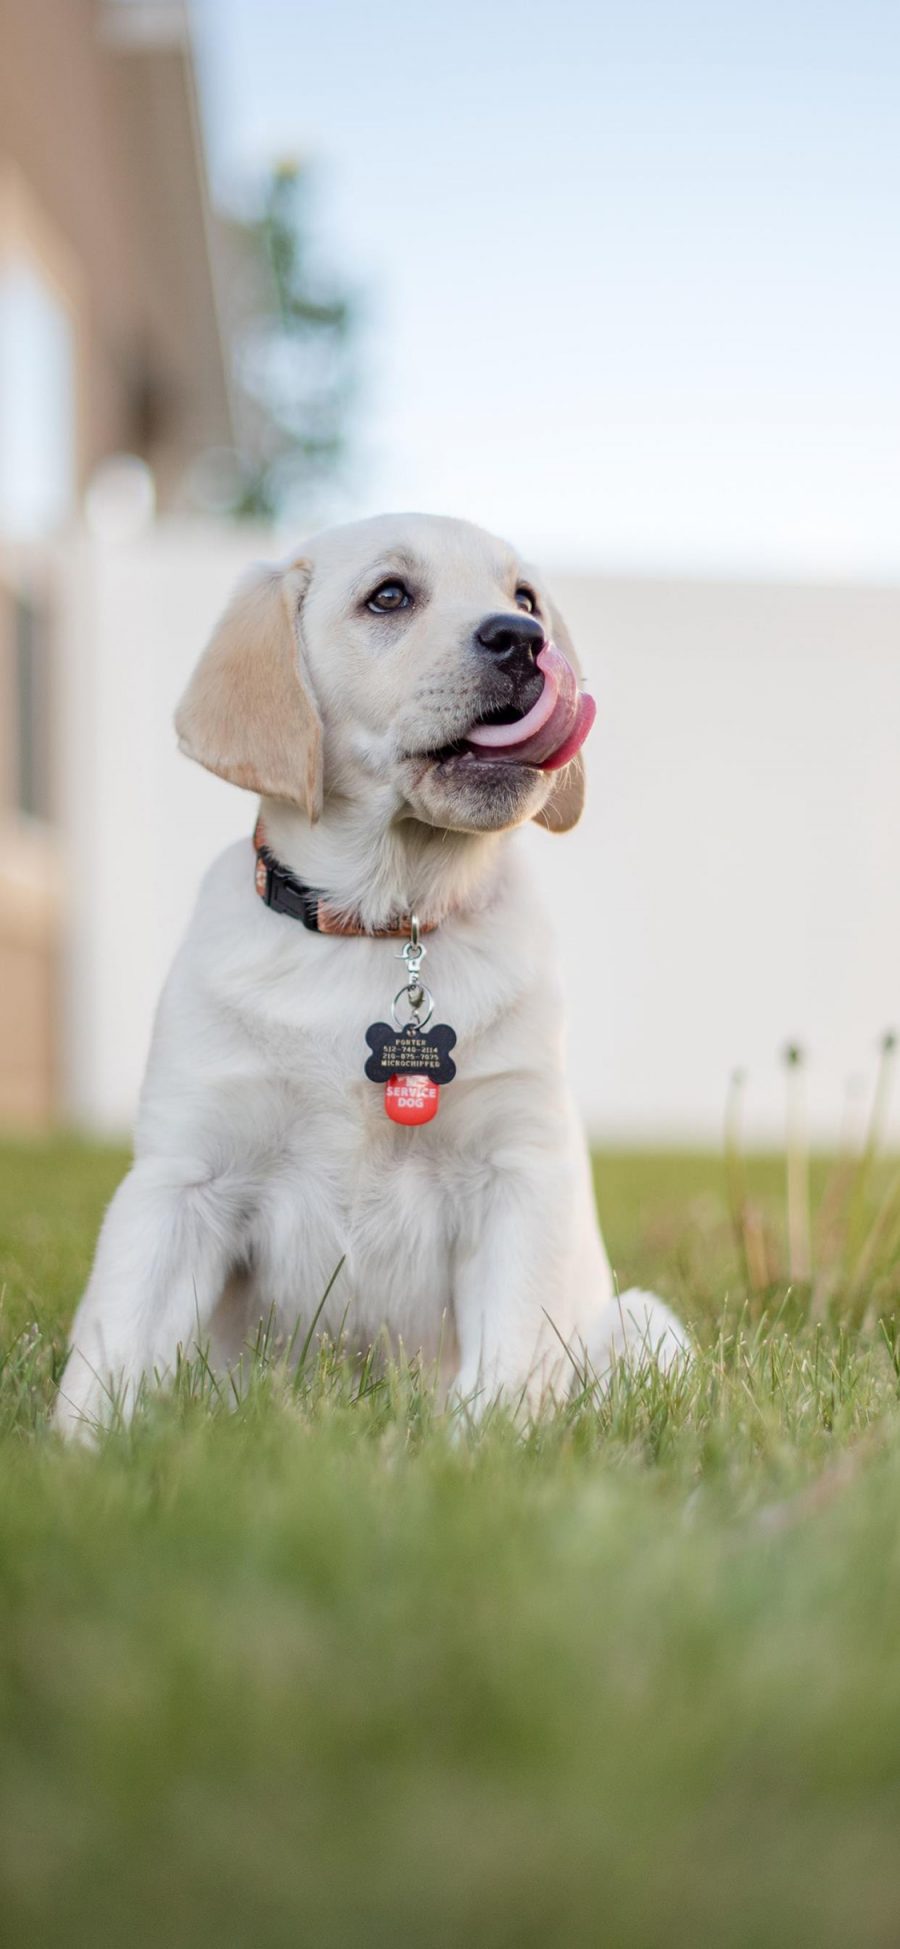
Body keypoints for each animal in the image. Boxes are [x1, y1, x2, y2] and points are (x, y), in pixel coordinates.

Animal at [56, 514, 685, 1434]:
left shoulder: (519, 1172)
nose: (523, 640)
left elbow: (508, 1362)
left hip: (645, 1322)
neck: (386, 922)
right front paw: (81, 1453)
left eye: (525, 597)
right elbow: (113, 1346)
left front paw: (479, 1449)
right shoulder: (183, 1177)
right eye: (389, 596)